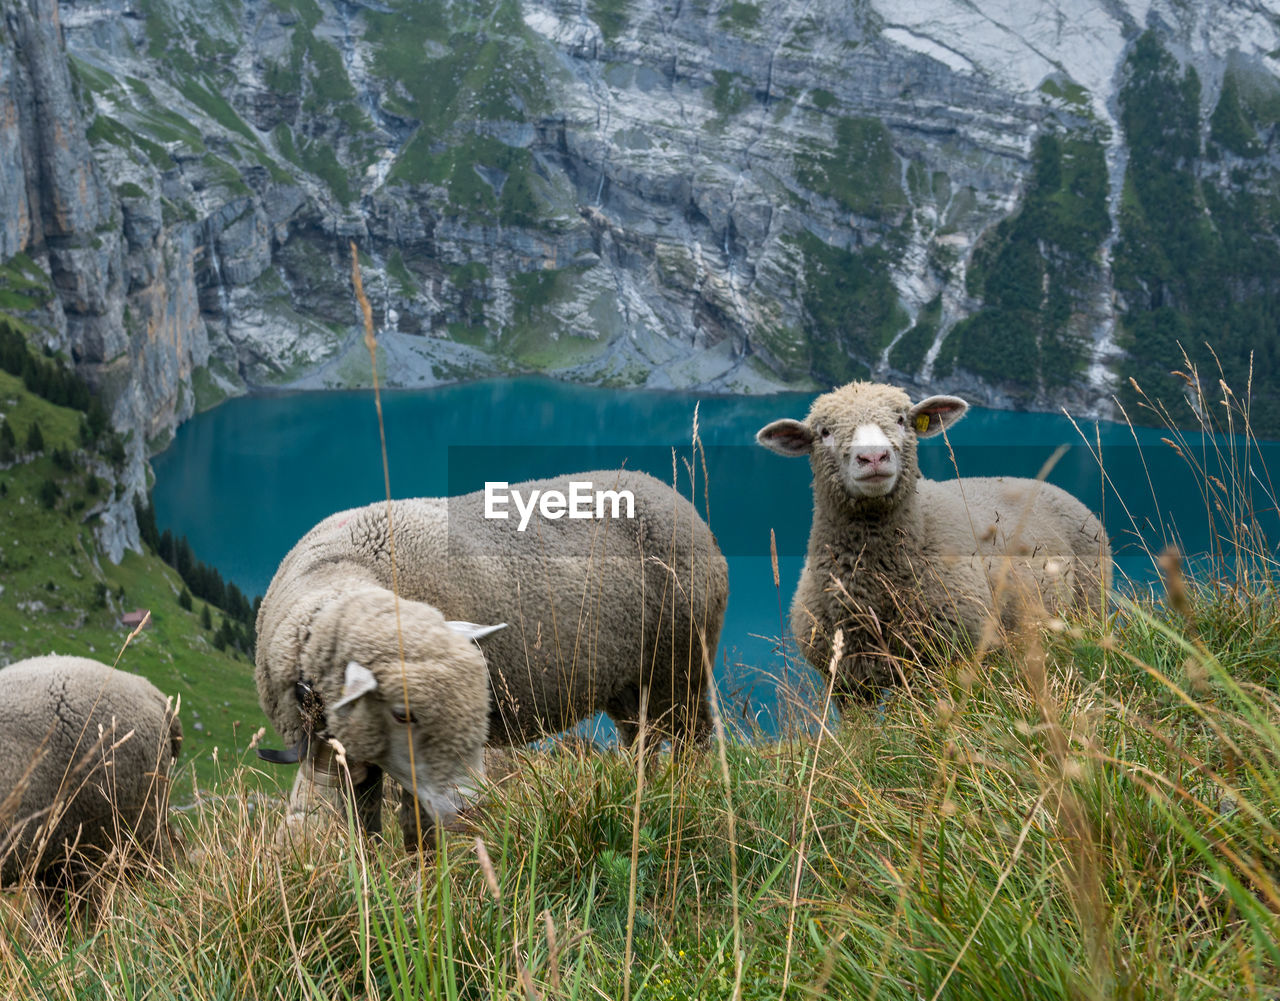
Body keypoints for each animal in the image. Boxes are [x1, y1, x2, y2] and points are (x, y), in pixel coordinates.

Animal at [254, 471, 732, 855]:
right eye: (402, 714)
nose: (471, 808)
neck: (342, 570)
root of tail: (676, 497)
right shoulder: (359, 755)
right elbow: (366, 825)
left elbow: (415, 826)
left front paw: (422, 879)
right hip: (629, 682)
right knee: (643, 741)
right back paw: (641, 790)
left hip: (682, 662)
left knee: (693, 737)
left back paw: (689, 792)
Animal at [757, 381, 1111, 706]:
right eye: (825, 431)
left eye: (901, 419)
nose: (873, 457)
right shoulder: (846, 681)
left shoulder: (942, 662)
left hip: (1089, 605)